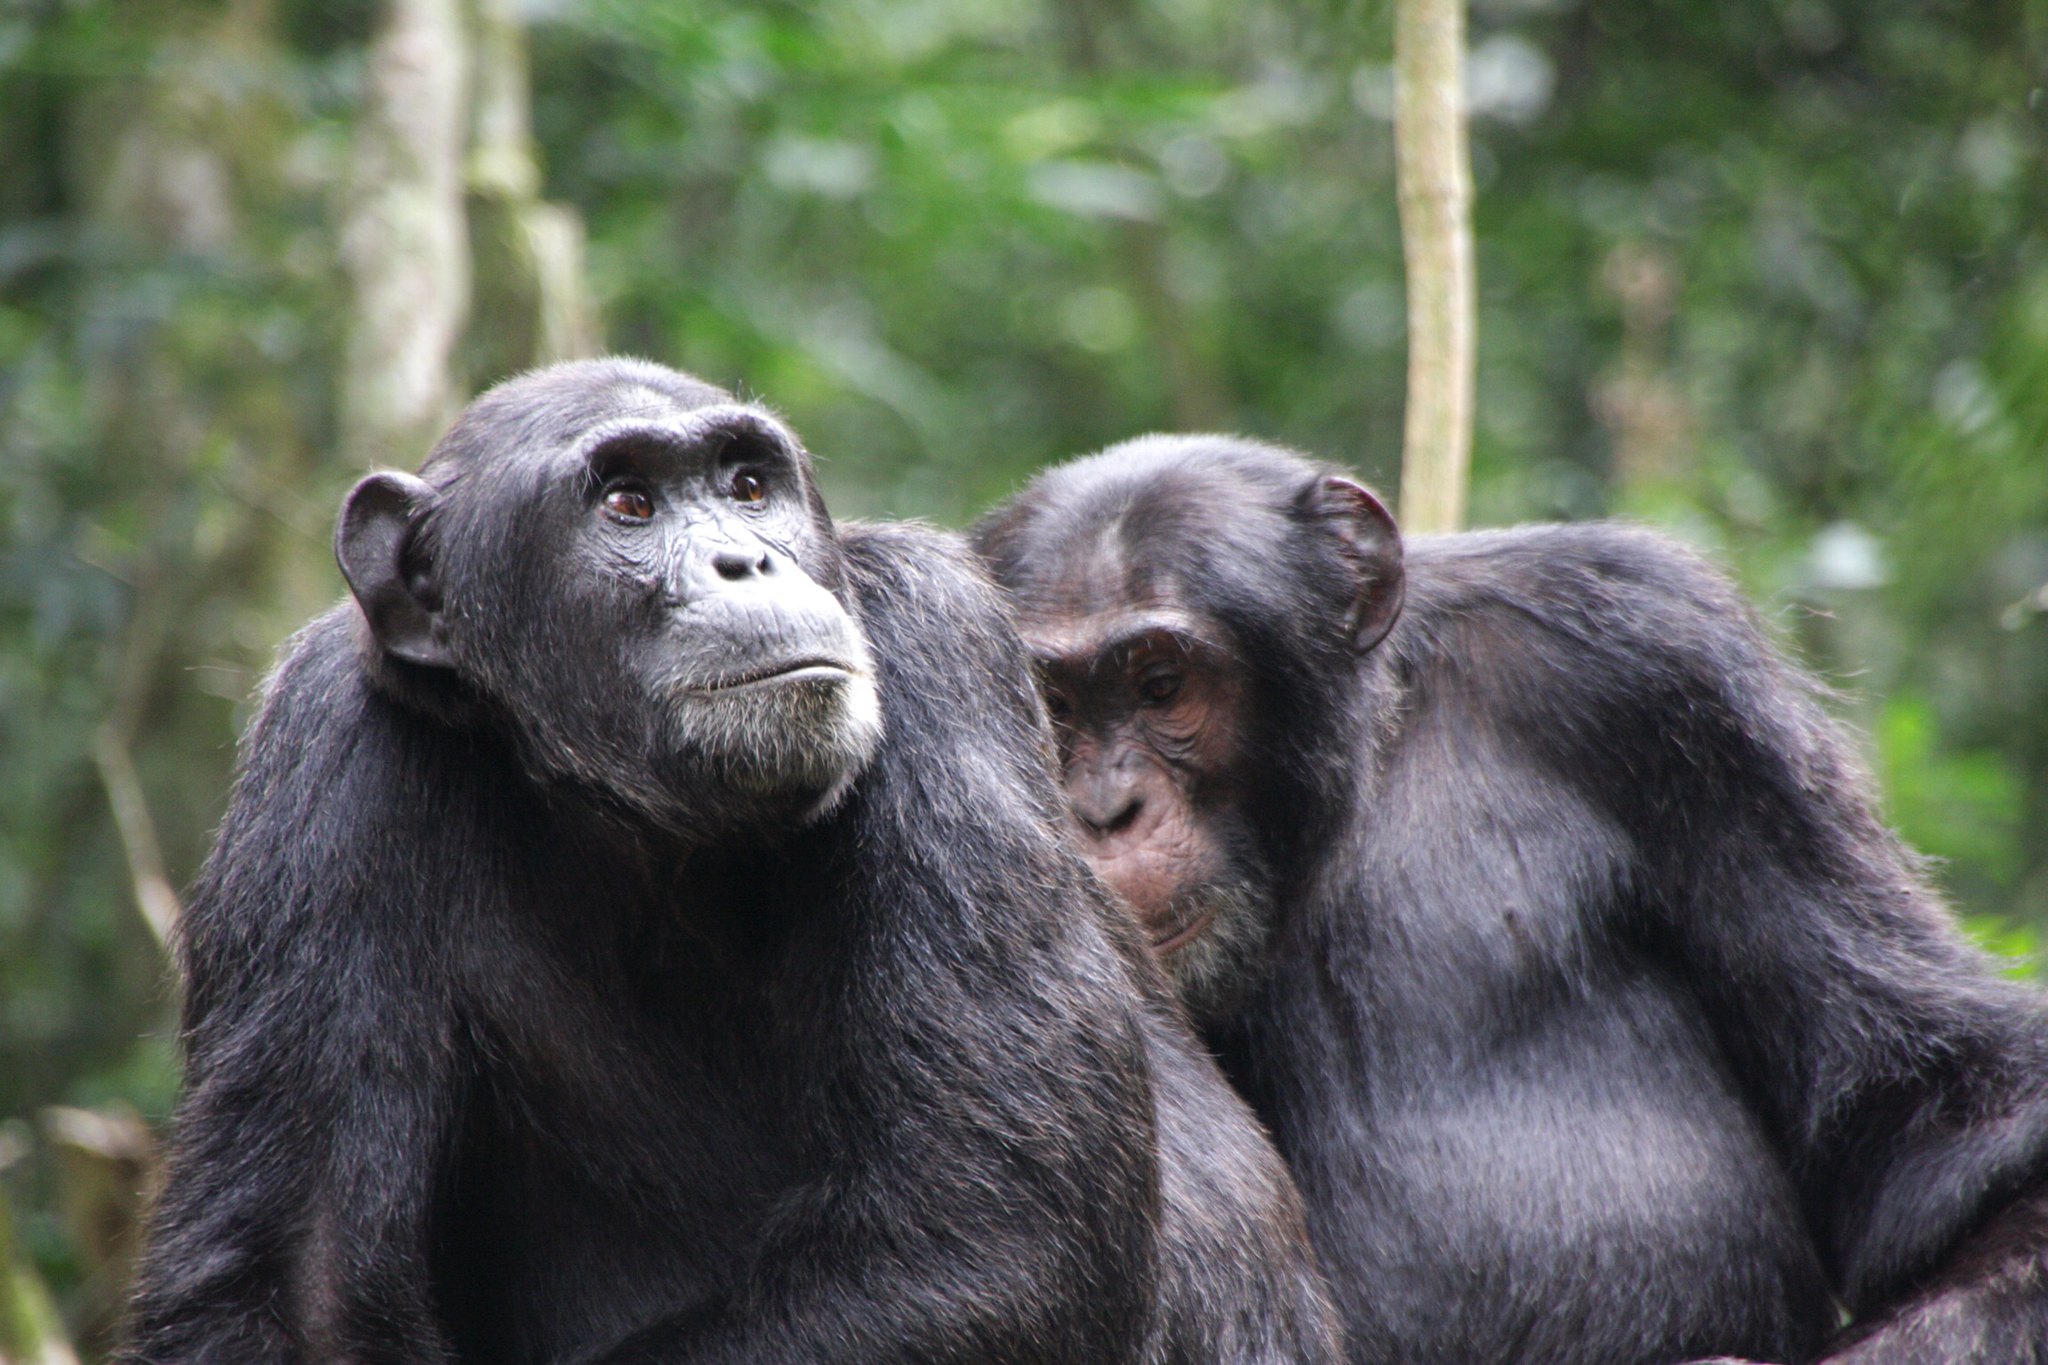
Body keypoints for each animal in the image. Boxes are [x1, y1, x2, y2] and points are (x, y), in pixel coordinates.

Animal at [116, 360, 1343, 1365]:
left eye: (749, 485)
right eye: (627, 502)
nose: (743, 559)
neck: (643, 828)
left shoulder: (935, 640)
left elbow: (995, 1229)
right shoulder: (320, 758)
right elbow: (293, 1284)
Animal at [970, 437, 2048, 1365]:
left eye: (1161, 684)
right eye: (1054, 707)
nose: (1105, 807)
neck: (1350, 791)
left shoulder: (1670, 670)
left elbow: (1938, 1116)